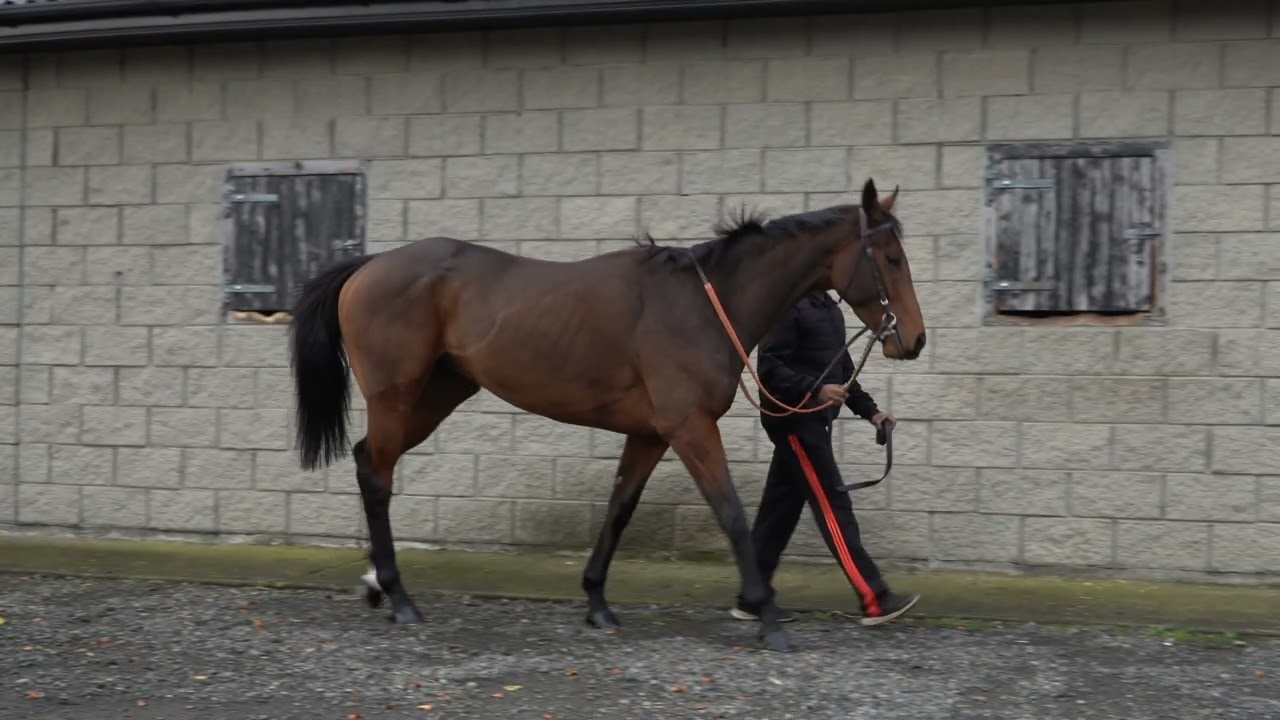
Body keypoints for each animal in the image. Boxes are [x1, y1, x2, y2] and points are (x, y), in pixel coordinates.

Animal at [288, 178, 926, 653]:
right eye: (891, 257)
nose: (914, 340)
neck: (700, 304)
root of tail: (370, 266)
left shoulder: (650, 434)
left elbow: (620, 508)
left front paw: (597, 603)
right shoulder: (691, 427)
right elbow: (732, 515)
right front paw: (768, 617)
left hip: (438, 396)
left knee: (368, 460)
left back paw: (376, 583)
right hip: (397, 396)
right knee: (378, 475)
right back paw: (400, 599)